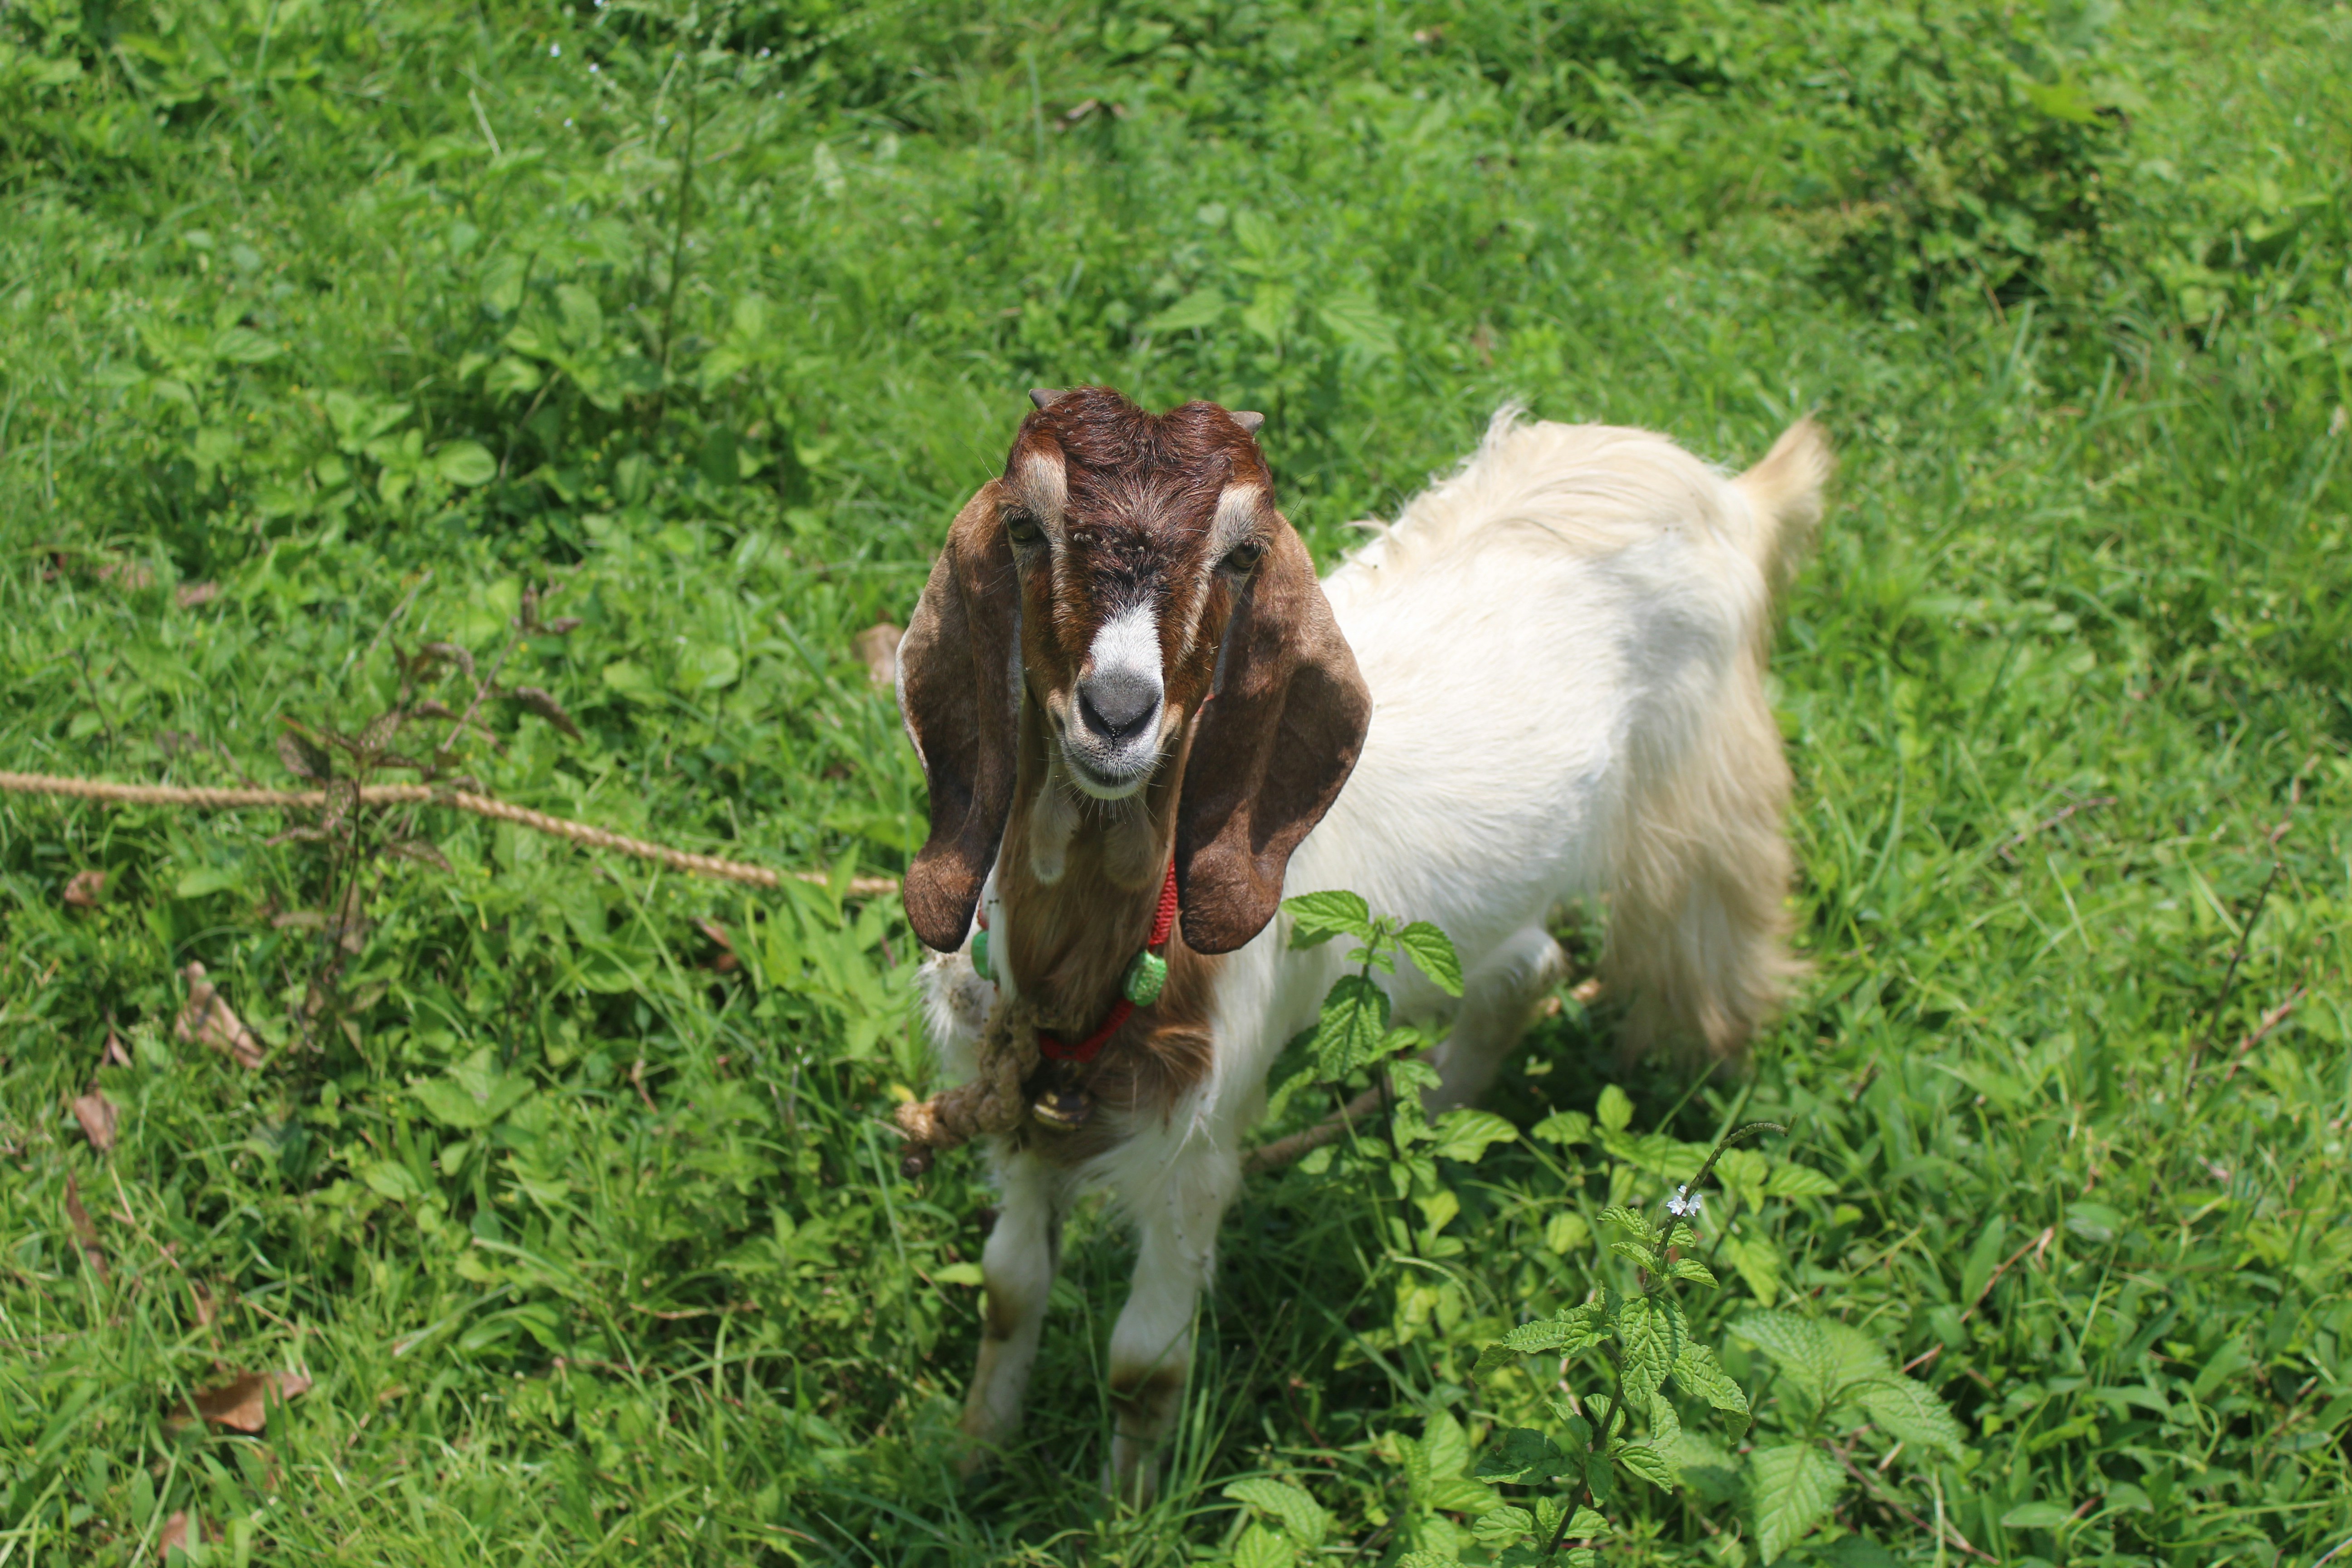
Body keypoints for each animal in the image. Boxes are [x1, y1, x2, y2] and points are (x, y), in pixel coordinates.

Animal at [894, 386, 1833, 1502]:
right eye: (1025, 528)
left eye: (1242, 552)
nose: (1117, 713)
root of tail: (1731, 491)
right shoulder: (1027, 1113)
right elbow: (1007, 1289)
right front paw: (970, 1458)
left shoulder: (1194, 1151)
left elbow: (1141, 1362)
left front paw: (1125, 1513)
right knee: (1527, 966)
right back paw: (1425, 1120)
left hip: (1706, 800)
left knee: (1710, 945)